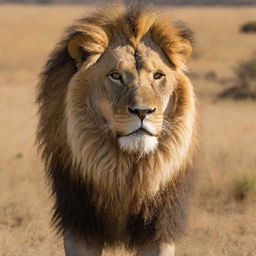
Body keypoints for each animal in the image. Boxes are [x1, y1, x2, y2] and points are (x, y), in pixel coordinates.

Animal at [36, 2, 198, 256]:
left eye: (158, 75)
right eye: (115, 76)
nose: (142, 111)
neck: (125, 170)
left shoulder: (160, 225)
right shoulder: (79, 222)